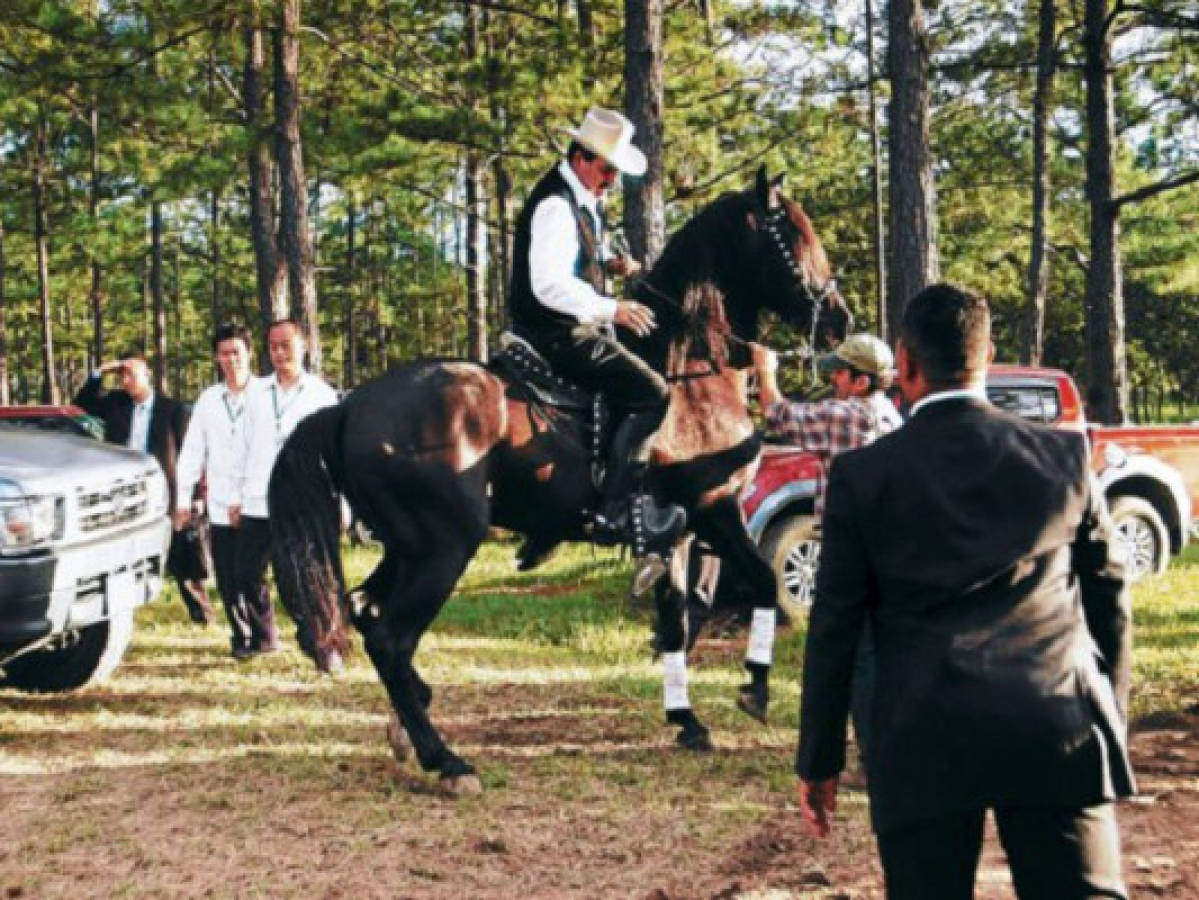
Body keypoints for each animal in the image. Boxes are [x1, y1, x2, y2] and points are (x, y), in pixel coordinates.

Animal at [267, 165, 848, 790]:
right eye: (792, 235)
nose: (840, 319)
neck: (688, 372)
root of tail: (347, 406)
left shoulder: (678, 532)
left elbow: (676, 623)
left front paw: (687, 719)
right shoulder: (715, 508)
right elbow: (761, 583)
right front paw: (754, 690)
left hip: (406, 548)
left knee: (366, 612)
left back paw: (410, 719)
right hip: (443, 548)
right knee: (390, 639)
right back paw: (445, 759)